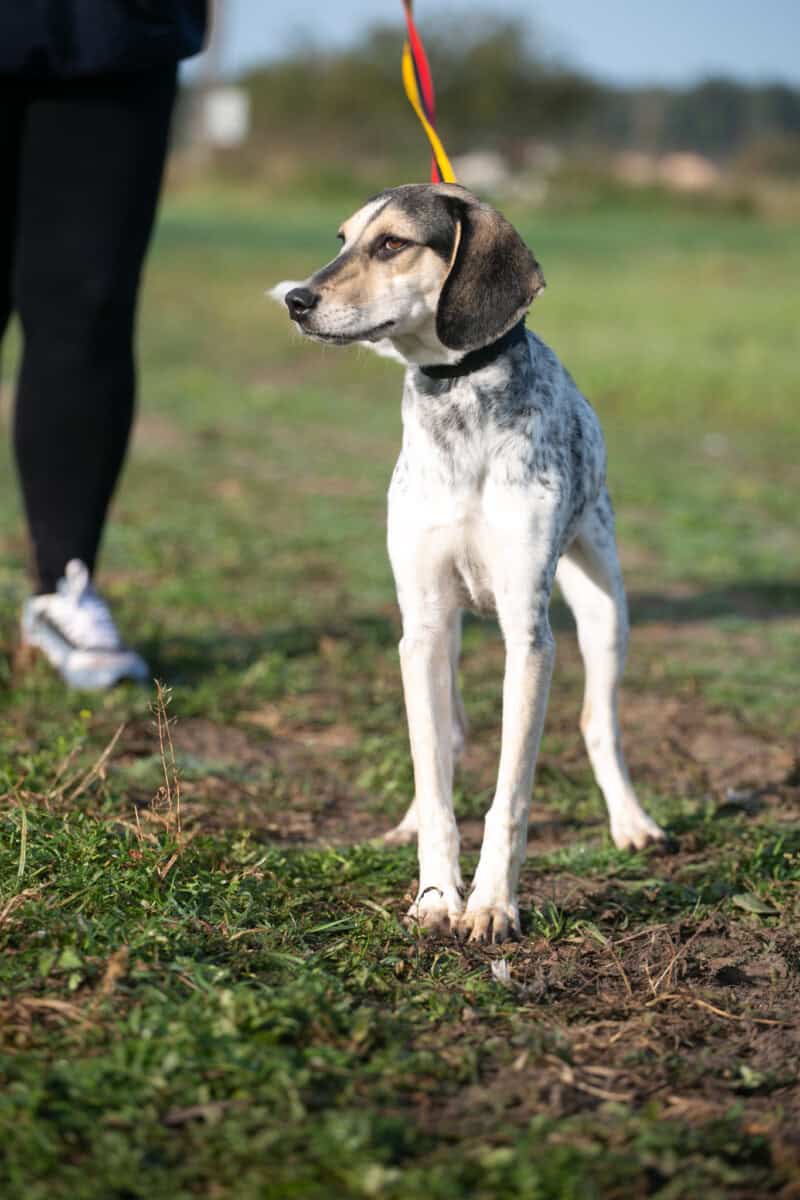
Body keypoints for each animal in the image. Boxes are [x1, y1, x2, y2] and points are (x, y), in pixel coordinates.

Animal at [273, 183, 665, 943]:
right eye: (342, 238)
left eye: (392, 243)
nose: (296, 300)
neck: (456, 400)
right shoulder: (422, 625)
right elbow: (436, 784)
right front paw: (434, 898)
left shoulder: (529, 638)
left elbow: (509, 798)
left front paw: (490, 905)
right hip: (444, 631)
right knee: (447, 740)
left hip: (604, 611)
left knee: (598, 724)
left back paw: (631, 822)